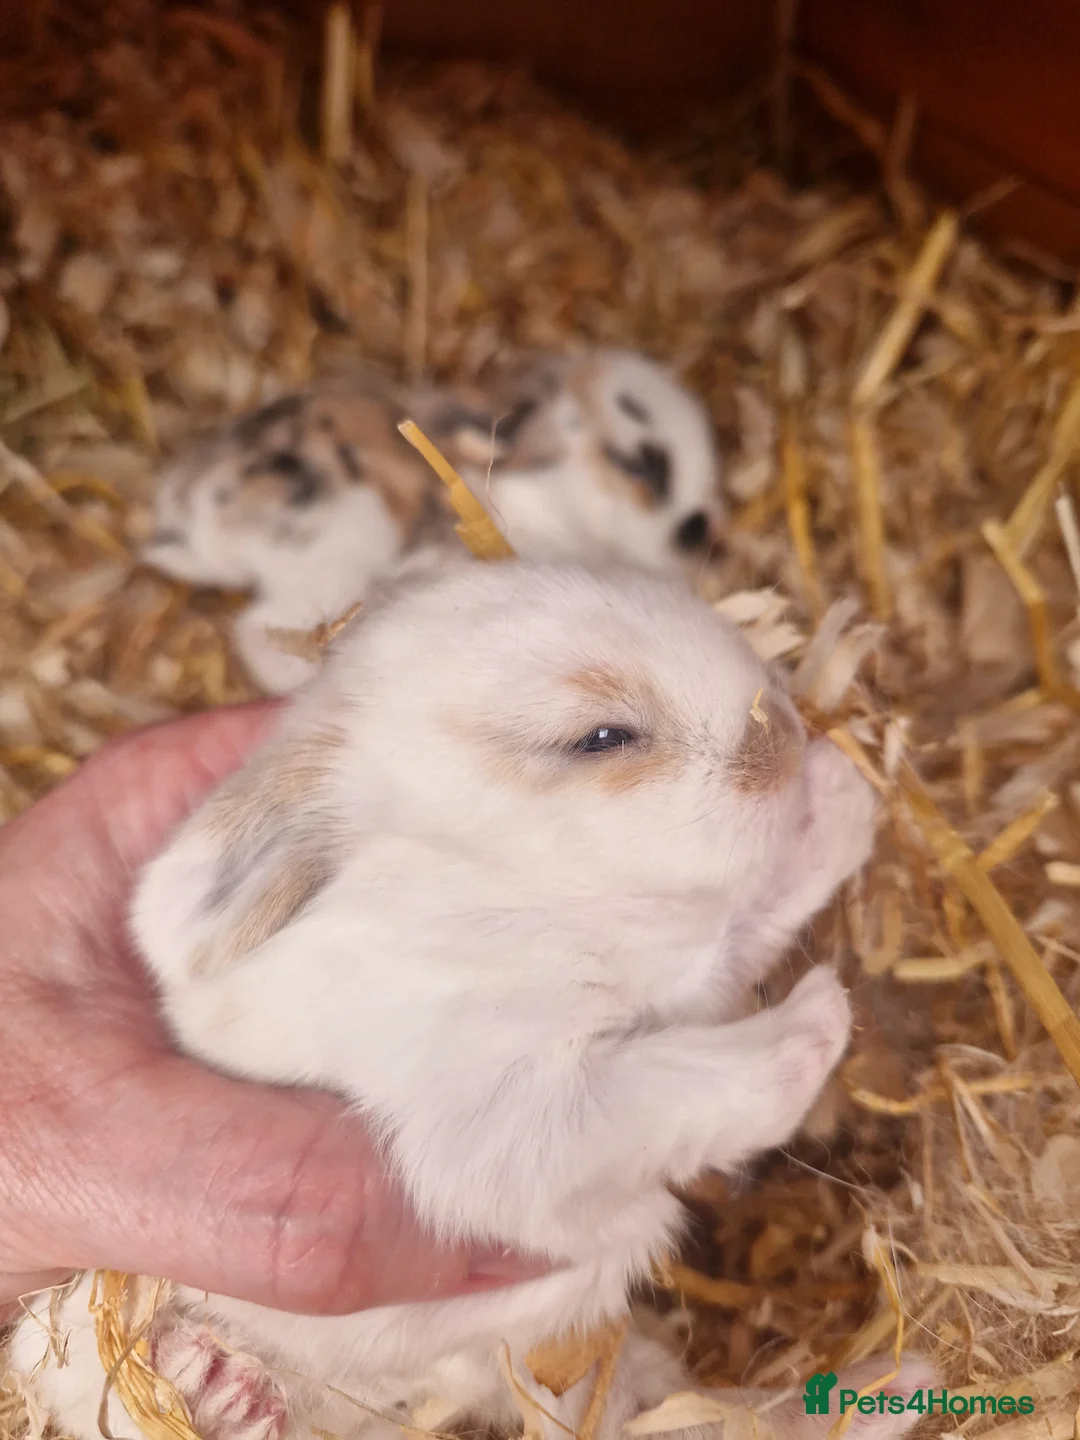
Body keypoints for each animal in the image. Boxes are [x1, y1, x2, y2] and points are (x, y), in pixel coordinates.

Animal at [10, 560, 934, 1440]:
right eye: (603, 737)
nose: (787, 737)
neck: (520, 886)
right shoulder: (508, 1112)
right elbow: (684, 1086)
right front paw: (820, 1013)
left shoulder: (696, 978)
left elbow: (750, 922)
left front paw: (843, 797)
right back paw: (217, 1383)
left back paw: (892, 1386)